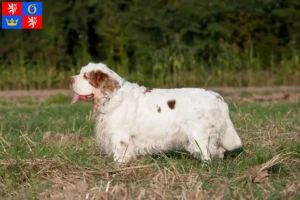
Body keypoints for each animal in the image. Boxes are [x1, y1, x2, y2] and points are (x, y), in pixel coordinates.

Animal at [69, 62, 243, 162]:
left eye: (86, 76)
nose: (70, 80)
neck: (113, 96)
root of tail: (218, 97)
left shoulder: (120, 137)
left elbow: (119, 156)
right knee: (219, 151)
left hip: (199, 135)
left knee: (207, 154)